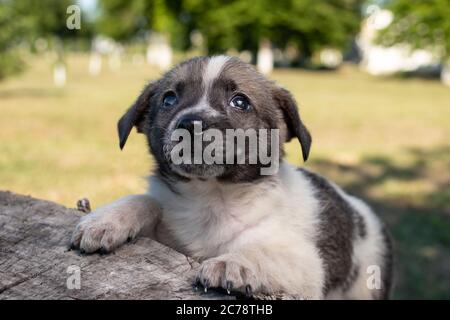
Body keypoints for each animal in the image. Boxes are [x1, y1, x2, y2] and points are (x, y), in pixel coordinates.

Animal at [70, 55, 394, 300]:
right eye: (169, 99)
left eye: (240, 102)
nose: (191, 124)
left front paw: (233, 263)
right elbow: (146, 201)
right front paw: (105, 220)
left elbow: (263, 252)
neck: (212, 197)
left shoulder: (307, 266)